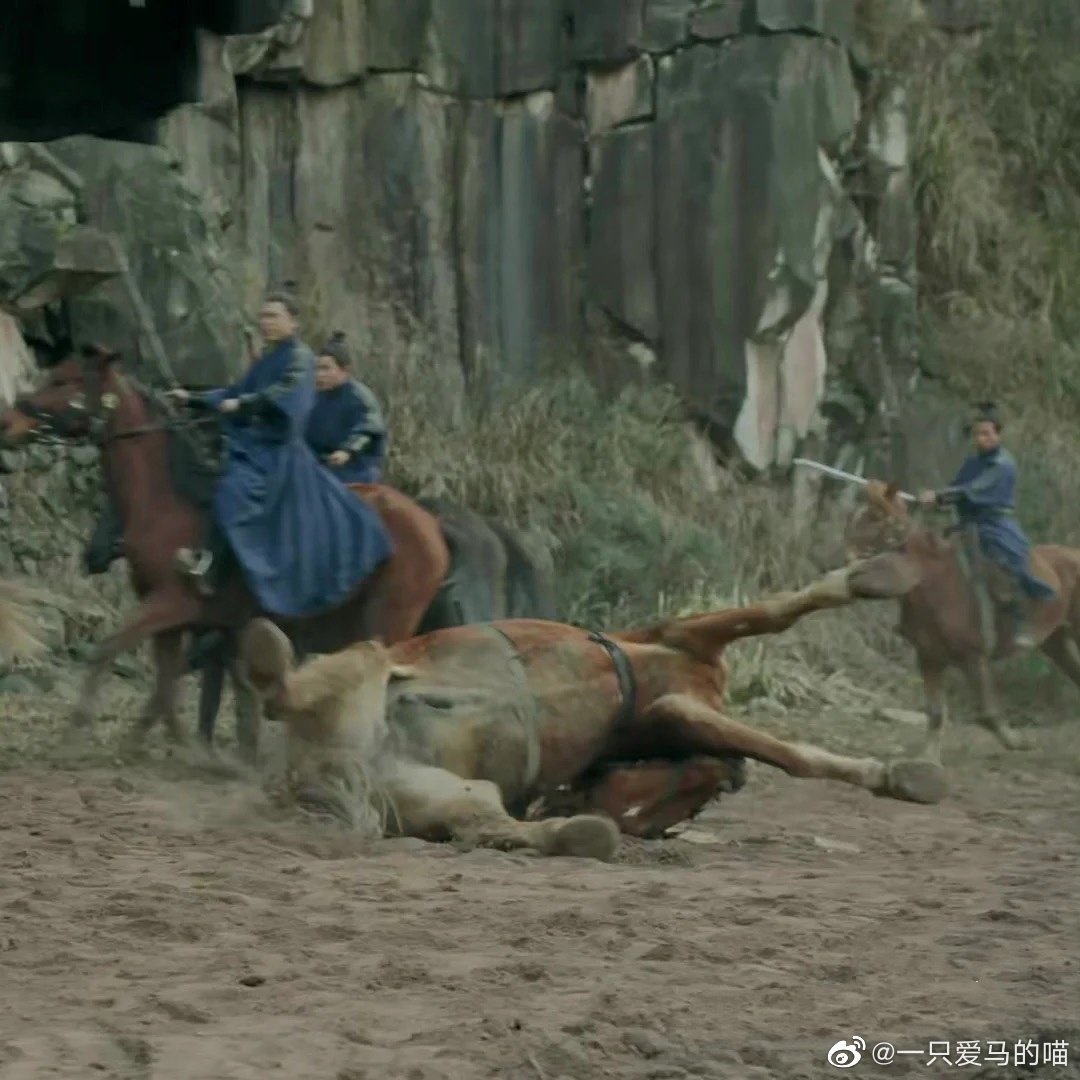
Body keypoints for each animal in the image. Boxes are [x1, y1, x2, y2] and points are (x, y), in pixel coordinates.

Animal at [0, 345, 451, 749]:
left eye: (65, 381)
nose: (9, 421)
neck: (169, 501)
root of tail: (432, 525)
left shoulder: (173, 603)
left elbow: (109, 649)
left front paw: (78, 730)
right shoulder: (176, 619)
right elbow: (168, 680)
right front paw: (167, 742)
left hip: (387, 622)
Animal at [237, 556, 946, 861]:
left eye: (673, 812)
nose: (625, 818)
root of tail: (315, 771)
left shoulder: (675, 692)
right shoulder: (680, 646)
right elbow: (776, 621)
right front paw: (899, 774)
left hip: (434, 790)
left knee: (486, 825)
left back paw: (579, 836)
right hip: (363, 670)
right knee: (289, 689)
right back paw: (267, 652)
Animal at [844, 480, 1080, 760]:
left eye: (875, 516)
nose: (848, 559)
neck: (932, 581)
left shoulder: (974, 658)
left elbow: (988, 713)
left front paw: (1018, 742)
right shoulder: (929, 658)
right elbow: (935, 712)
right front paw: (927, 758)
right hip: (1056, 641)